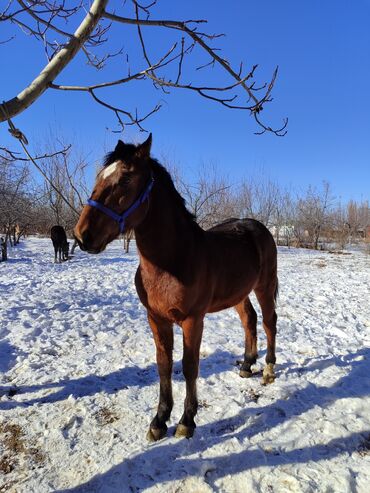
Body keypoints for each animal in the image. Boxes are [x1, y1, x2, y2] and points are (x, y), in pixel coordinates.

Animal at [74, 134, 278, 438]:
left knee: (268, 321)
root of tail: (258, 227)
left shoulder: (193, 320)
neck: (173, 261)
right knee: (249, 319)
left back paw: (268, 369)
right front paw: (159, 420)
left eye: (125, 179)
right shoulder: (156, 319)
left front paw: (186, 421)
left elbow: (190, 367)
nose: (82, 235)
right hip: (239, 293)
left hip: (264, 286)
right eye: (99, 176)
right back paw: (246, 364)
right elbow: (164, 365)